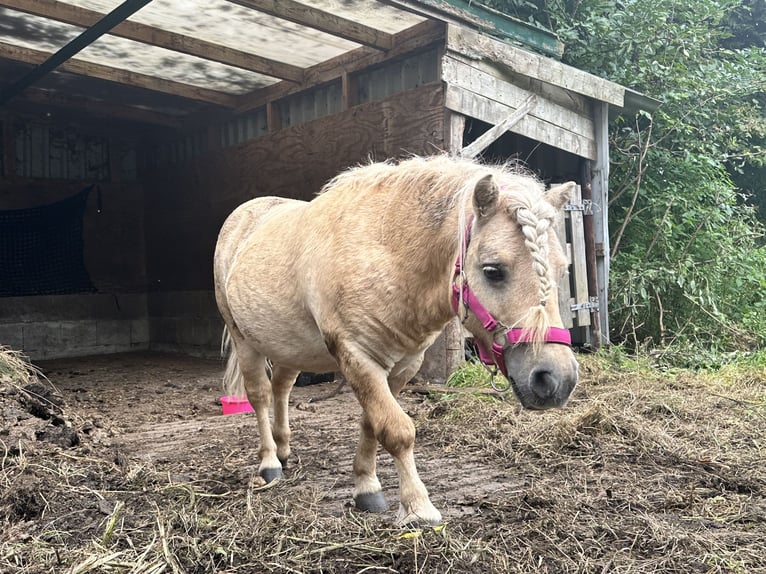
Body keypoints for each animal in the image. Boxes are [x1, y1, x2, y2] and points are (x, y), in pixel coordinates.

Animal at [213, 154, 579, 526]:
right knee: (260, 396)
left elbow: (372, 424)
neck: (387, 253)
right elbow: (398, 431)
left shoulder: (402, 365)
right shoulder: (357, 356)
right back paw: (270, 462)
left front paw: (366, 486)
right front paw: (418, 507)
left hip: (290, 347)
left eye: (562, 269)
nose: (556, 379)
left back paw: (284, 449)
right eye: (493, 270)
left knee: (282, 388)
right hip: (245, 340)